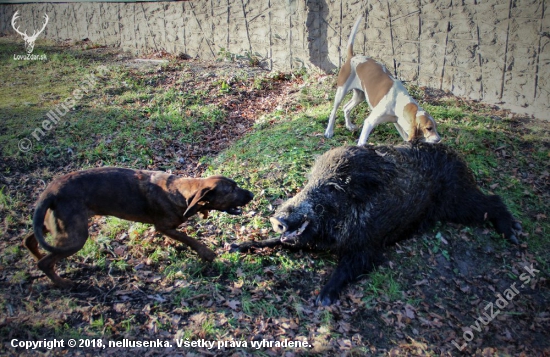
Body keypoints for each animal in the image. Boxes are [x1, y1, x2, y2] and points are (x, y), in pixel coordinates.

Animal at [326, 16, 442, 145]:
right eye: (429, 128)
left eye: (436, 127)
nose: (439, 140)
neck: (399, 101)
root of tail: (352, 57)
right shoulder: (369, 122)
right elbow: (362, 141)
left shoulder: (398, 123)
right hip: (341, 91)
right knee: (333, 112)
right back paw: (329, 131)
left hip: (360, 96)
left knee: (346, 108)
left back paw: (349, 126)